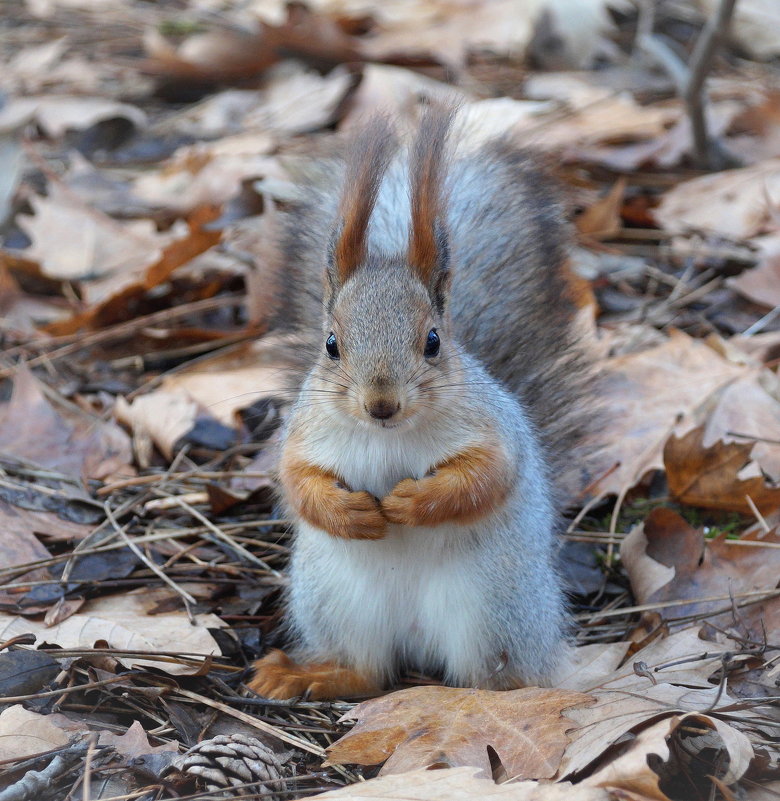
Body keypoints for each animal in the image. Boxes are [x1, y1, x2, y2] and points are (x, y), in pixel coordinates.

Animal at [250, 108, 592, 700]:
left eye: (433, 341)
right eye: (331, 344)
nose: (380, 404)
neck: (388, 437)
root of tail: (416, 638)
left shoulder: (493, 428)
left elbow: (487, 476)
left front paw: (413, 502)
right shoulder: (303, 435)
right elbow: (296, 482)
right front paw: (350, 512)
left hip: (494, 608)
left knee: (492, 676)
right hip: (336, 601)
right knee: (368, 672)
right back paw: (306, 675)